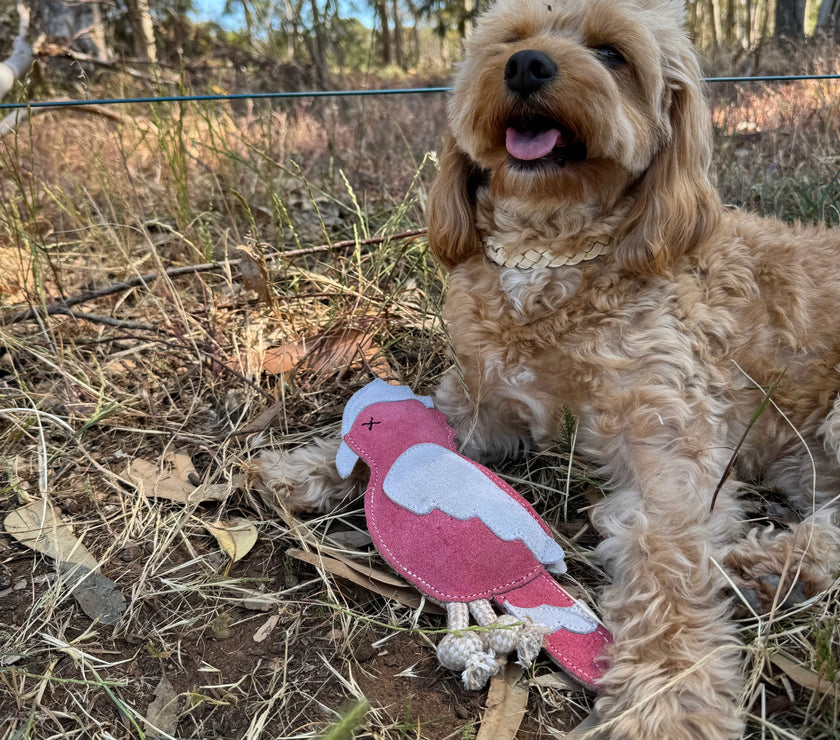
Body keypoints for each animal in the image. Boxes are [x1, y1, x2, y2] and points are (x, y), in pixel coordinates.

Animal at [254, 2, 840, 736]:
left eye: (613, 53)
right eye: (511, 39)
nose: (527, 66)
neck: (553, 255)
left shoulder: (670, 446)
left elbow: (668, 567)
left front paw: (670, 693)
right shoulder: (486, 403)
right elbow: (414, 436)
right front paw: (303, 468)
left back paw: (767, 566)